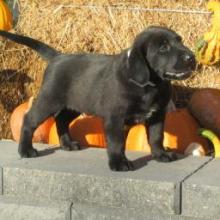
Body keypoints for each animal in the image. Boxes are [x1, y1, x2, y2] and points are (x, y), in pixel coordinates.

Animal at [0, 26, 196, 171]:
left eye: (180, 40)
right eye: (163, 47)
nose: (191, 57)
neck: (150, 86)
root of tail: (58, 57)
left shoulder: (157, 114)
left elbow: (156, 136)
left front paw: (161, 155)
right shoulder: (114, 118)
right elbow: (116, 142)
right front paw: (119, 163)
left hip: (75, 104)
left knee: (61, 119)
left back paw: (68, 144)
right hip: (49, 99)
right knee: (29, 119)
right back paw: (26, 150)